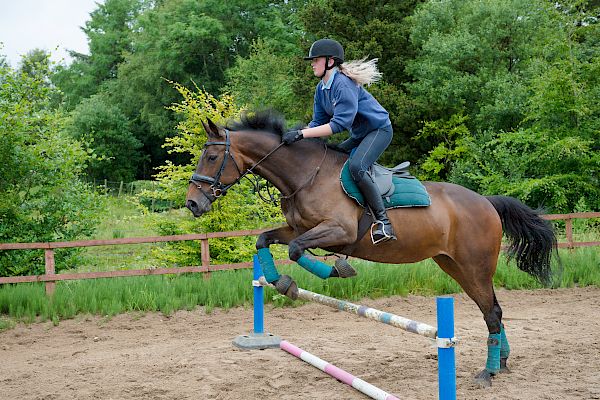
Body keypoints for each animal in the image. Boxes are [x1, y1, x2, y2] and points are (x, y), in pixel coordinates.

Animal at [185, 113, 556, 388]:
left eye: (212, 157)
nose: (192, 204)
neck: (306, 176)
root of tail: (488, 203)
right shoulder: (299, 229)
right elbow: (265, 240)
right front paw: (283, 283)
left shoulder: (336, 232)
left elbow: (296, 250)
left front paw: (335, 270)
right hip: (455, 266)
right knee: (492, 310)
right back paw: (502, 362)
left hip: (474, 266)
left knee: (492, 313)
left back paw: (488, 372)